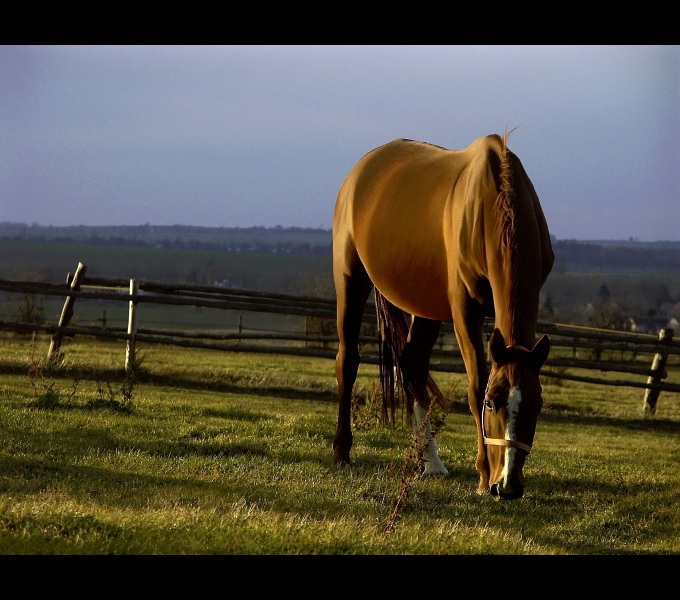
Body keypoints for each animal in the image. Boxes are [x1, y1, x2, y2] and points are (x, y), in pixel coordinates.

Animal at [334, 134, 552, 500]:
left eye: (536, 405)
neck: (492, 202)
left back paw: (431, 463)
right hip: (350, 278)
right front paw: (483, 476)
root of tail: (359, 171)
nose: (507, 485)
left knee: (412, 365)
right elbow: (476, 384)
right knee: (347, 361)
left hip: (424, 306)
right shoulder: (465, 309)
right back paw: (341, 450)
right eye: (491, 404)